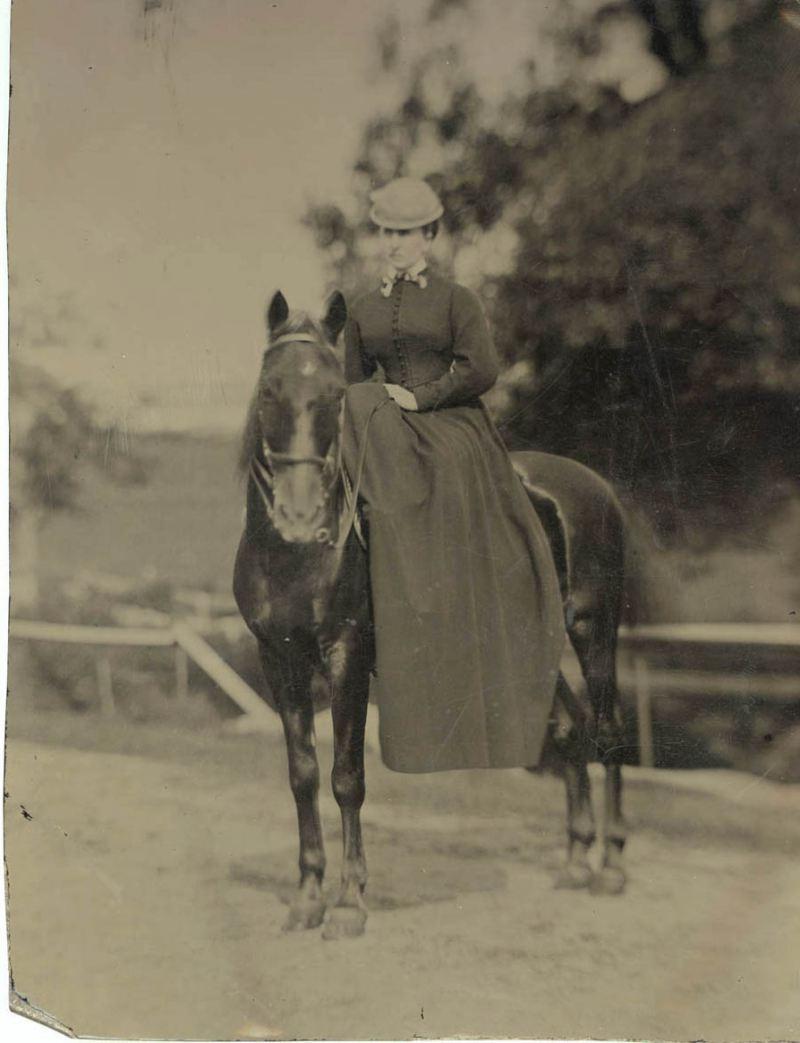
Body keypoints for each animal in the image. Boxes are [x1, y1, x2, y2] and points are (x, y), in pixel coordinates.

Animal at [234, 289, 629, 942]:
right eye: (268, 389)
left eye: (336, 396)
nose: (299, 515)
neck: (299, 554)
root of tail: (592, 484)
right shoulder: (278, 657)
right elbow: (303, 774)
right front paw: (308, 896)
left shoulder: (346, 657)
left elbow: (346, 777)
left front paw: (349, 903)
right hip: (531, 647)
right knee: (570, 728)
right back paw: (576, 858)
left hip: (594, 632)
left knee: (607, 728)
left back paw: (612, 864)